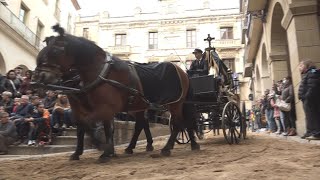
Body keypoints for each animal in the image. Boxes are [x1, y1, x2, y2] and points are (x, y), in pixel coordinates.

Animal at [31, 25, 198, 162]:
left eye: (55, 50)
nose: (38, 77)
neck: (101, 72)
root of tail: (182, 72)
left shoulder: (104, 108)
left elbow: (91, 124)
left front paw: (103, 148)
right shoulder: (85, 108)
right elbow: (87, 126)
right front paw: (87, 151)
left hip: (175, 104)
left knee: (178, 123)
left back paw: (167, 148)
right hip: (142, 106)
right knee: (145, 124)